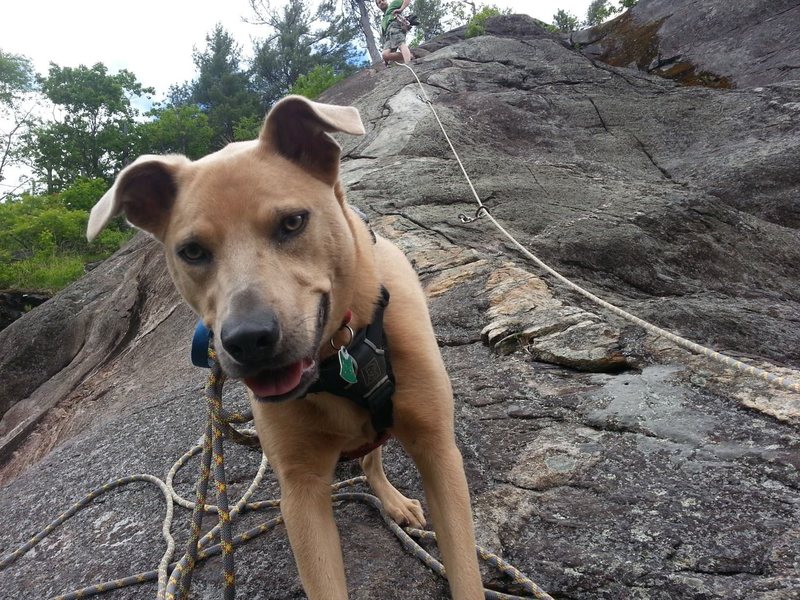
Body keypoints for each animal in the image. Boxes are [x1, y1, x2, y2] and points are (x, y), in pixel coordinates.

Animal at [90, 96, 484, 596]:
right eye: (192, 251)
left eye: (293, 222)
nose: (248, 340)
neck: (340, 354)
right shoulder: (300, 493)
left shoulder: (439, 453)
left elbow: (466, 570)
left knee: (372, 455)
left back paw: (392, 500)